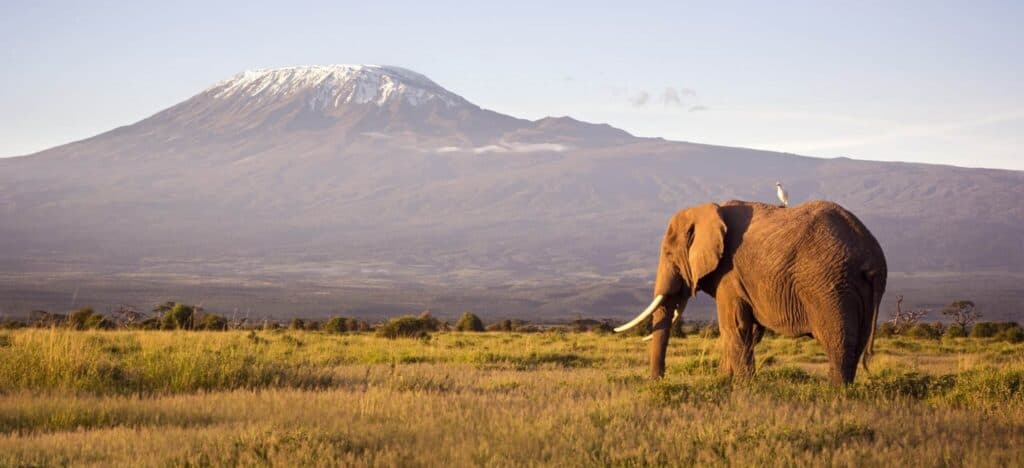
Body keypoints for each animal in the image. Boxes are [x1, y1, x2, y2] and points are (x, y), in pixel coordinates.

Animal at [615, 200, 887, 385]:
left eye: (669, 254)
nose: (657, 382)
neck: (707, 209)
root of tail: (871, 255)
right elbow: (748, 332)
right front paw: (723, 382)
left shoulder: (730, 275)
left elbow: (734, 327)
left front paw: (743, 387)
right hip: (855, 289)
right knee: (856, 344)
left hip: (830, 287)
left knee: (838, 342)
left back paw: (834, 393)